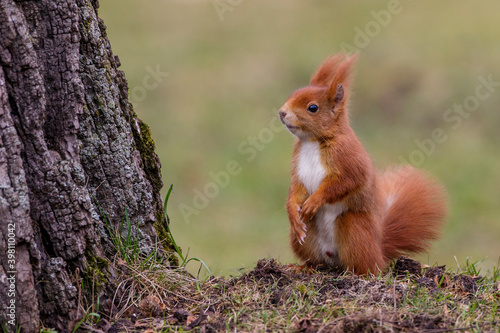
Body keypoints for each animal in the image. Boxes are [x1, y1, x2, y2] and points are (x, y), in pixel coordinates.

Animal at [280, 53, 448, 274]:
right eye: (293, 94)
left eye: (312, 108)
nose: (282, 113)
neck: (312, 142)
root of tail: (378, 251)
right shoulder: (298, 167)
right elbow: (296, 189)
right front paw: (293, 213)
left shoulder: (349, 158)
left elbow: (347, 181)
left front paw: (314, 201)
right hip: (306, 239)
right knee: (315, 260)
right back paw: (303, 267)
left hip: (353, 229)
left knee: (367, 265)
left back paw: (357, 272)